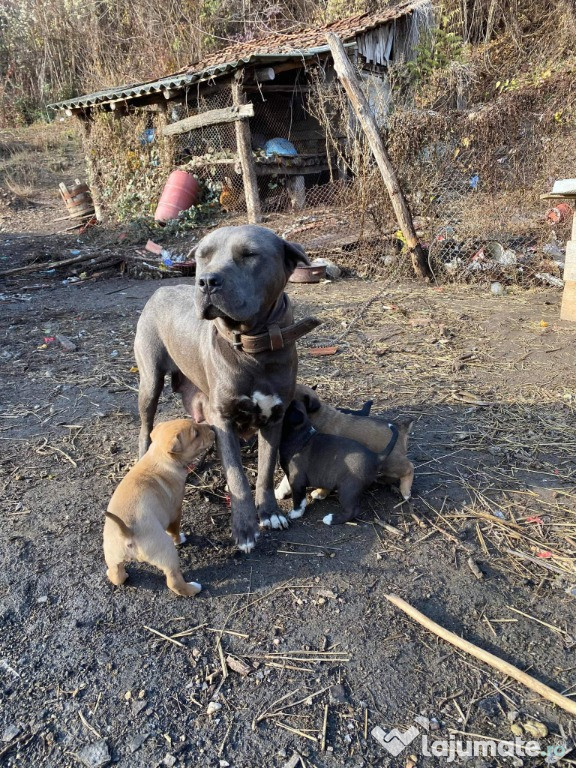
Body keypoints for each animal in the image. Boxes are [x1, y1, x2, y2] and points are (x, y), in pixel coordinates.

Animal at [103, 420, 214, 592]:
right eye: (196, 434)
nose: (212, 427)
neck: (158, 457)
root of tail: (126, 531)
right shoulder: (175, 512)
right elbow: (174, 530)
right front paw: (179, 538)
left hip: (112, 555)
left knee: (117, 575)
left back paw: (115, 574)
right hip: (167, 552)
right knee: (174, 582)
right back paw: (194, 588)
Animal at [134, 222, 320, 552]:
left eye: (249, 254)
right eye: (203, 255)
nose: (206, 281)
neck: (252, 348)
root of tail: (161, 288)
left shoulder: (274, 417)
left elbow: (265, 470)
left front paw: (269, 513)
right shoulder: (223, 419)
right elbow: (237, 478)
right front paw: (245, 530)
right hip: (150, 381)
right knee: (146, 426)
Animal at [276, 384, 414, 504]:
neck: (318, 415)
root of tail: (401, 427)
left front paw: (320, 493)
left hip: (391, 462)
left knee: (409, 467)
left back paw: (405, 491)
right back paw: (382, 479)